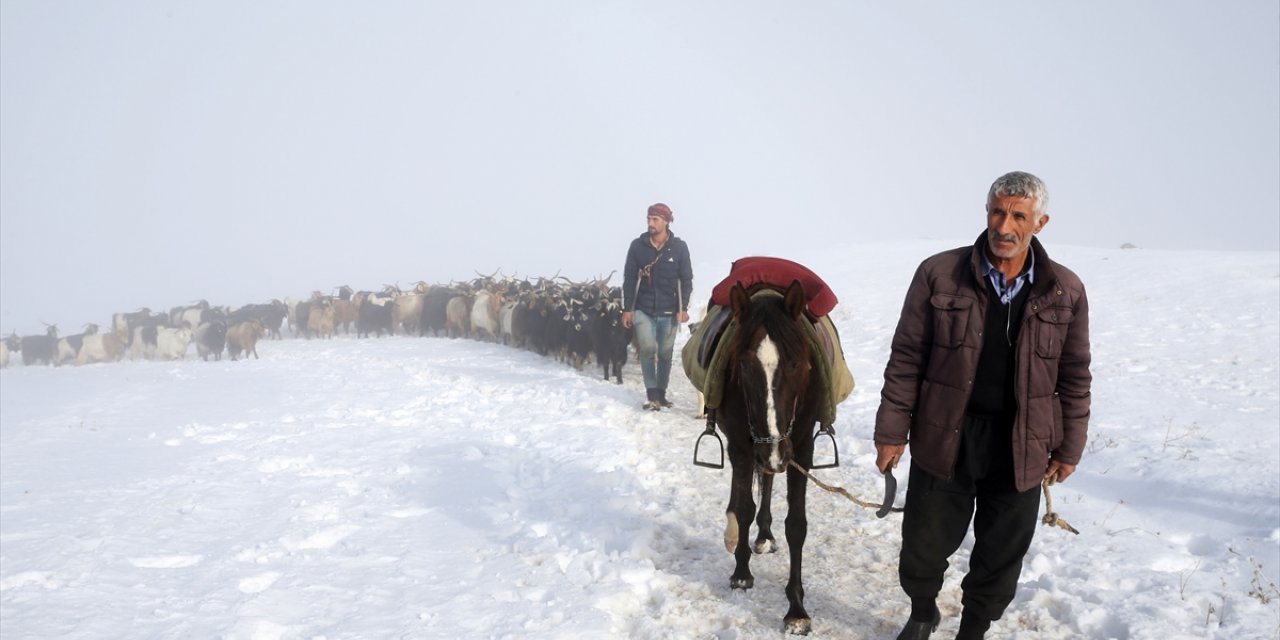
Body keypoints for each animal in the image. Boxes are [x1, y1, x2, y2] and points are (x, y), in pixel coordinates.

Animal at [721, 280, 819, 634]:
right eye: (744, 365)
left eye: (795, 363)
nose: (773, 447)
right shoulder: (741, 447)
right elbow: (743, 508)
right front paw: (741, 573)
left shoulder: (800, 449)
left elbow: (797, 525)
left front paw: (797, 609)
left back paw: (764, 534)